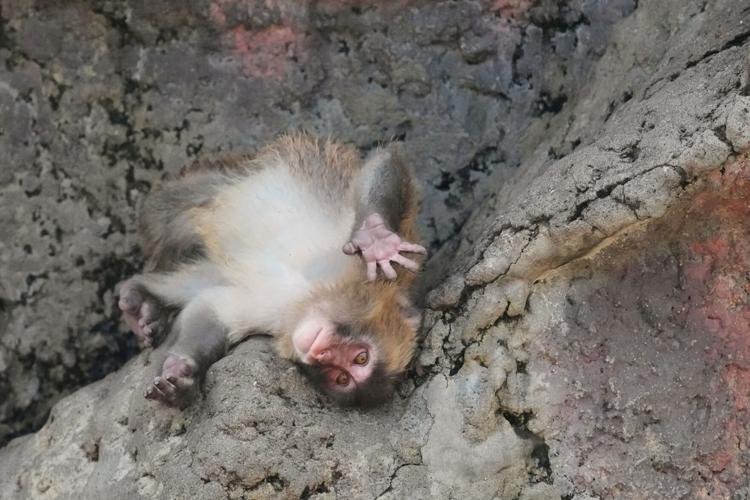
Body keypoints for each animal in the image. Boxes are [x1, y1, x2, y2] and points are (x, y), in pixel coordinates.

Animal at [117, 134, 426, 407]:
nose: (321, 354)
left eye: (342, 377)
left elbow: (211, 310)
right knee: (172, 212)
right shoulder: (367, 271)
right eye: (361, 357)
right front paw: (375, 238)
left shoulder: (274, 320)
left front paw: (181, 373)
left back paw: (145, 299)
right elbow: (385, 162)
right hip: (220, 181)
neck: (310, 295)